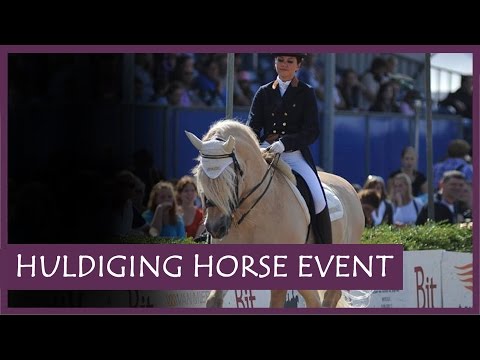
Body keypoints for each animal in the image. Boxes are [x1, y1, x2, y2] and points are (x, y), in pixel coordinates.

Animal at [187, 120, 364, 306]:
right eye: (200, 177)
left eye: (230, 178)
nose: (215, 228)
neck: (254, 215)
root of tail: (348, 186)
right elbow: (213, 300)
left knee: (331, 296)